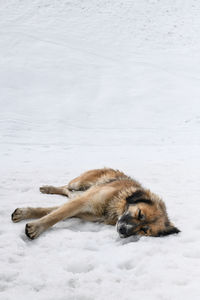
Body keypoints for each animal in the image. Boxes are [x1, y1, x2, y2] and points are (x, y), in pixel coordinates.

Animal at [10, 168, 180, 240]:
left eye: (144, 230)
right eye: (140, 214)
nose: (123, 231)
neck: (116, 202)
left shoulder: (82, 210)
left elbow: (50, 211)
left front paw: (25, 214)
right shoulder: (84, 201)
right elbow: (55, 215)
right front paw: (36, 227)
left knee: (68, 192)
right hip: (79, 182)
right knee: (67, 187)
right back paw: (48, 188)